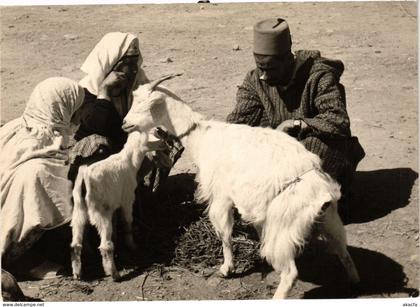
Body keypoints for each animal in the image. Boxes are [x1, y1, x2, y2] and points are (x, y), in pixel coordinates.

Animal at [70, 130, 159, 282]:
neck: (129, 160)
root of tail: (84, 181)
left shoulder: (114, 205)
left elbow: (116, 221)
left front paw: (118, 239)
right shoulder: (127, 199)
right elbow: (127, 221)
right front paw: (131, 245)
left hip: (79, 209)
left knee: (76, 243)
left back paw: (78, 272)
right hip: (101, 211)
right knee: (105, 246)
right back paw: (114, 274)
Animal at [122, 75, 360, 300]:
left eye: (143, 103)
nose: (124, 124)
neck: (202, 137)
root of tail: (322, 194)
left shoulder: (220, 198)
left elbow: (225, 235)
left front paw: (227, 268)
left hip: (284, 229)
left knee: (291, 273)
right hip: (330, 221)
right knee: (344, 253)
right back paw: (354, 283)